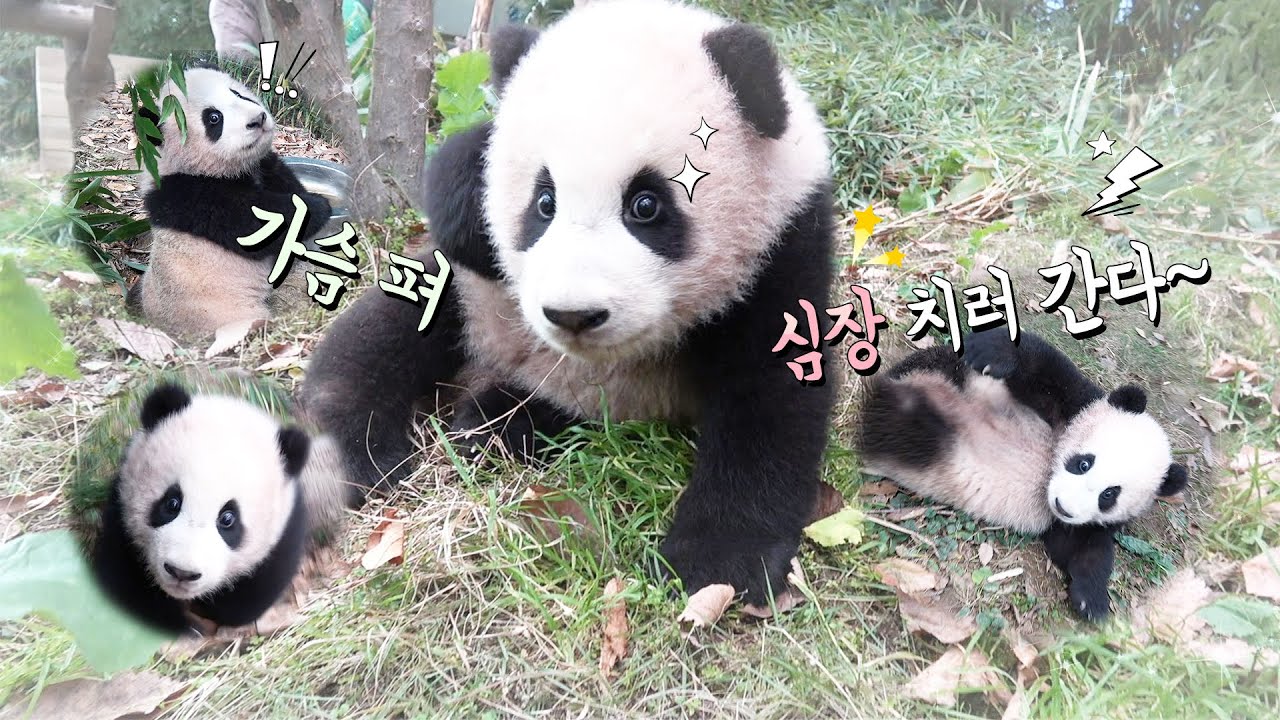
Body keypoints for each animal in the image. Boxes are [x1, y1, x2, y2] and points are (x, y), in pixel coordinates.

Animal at [90, 382, 350, 633]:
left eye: (228, 518)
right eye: (172, 503)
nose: (182, 572)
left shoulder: (286, 529)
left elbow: (254, 594)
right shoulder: (121, 514)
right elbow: (126, 583)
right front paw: (183, 625)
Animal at [126, 65, 332, 340]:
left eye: (237, 93)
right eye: (214, 118)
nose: (258, 119)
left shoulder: (264, 166)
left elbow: (284, 180)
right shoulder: (189, 196)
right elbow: (256, 226)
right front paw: (318, 207)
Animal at [299, 0, 837, 606]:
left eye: (646, 205)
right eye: (544, 202)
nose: (573, 315)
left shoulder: (784, 242)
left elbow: (768, 397)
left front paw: (715, 563)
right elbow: (453, 176)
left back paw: (494, 422)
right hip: (465, 301)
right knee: (383, 333)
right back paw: (364, 453)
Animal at [857, 328, 1190, 620]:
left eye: (1109, 495)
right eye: (1084, 464)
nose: (1064, 506)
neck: (1048, 470)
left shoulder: (1076, 524)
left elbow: (1082, 551)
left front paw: (1092, 600)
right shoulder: (1073, 406)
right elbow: (1044, 369)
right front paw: (993, 350)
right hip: (942, 375)